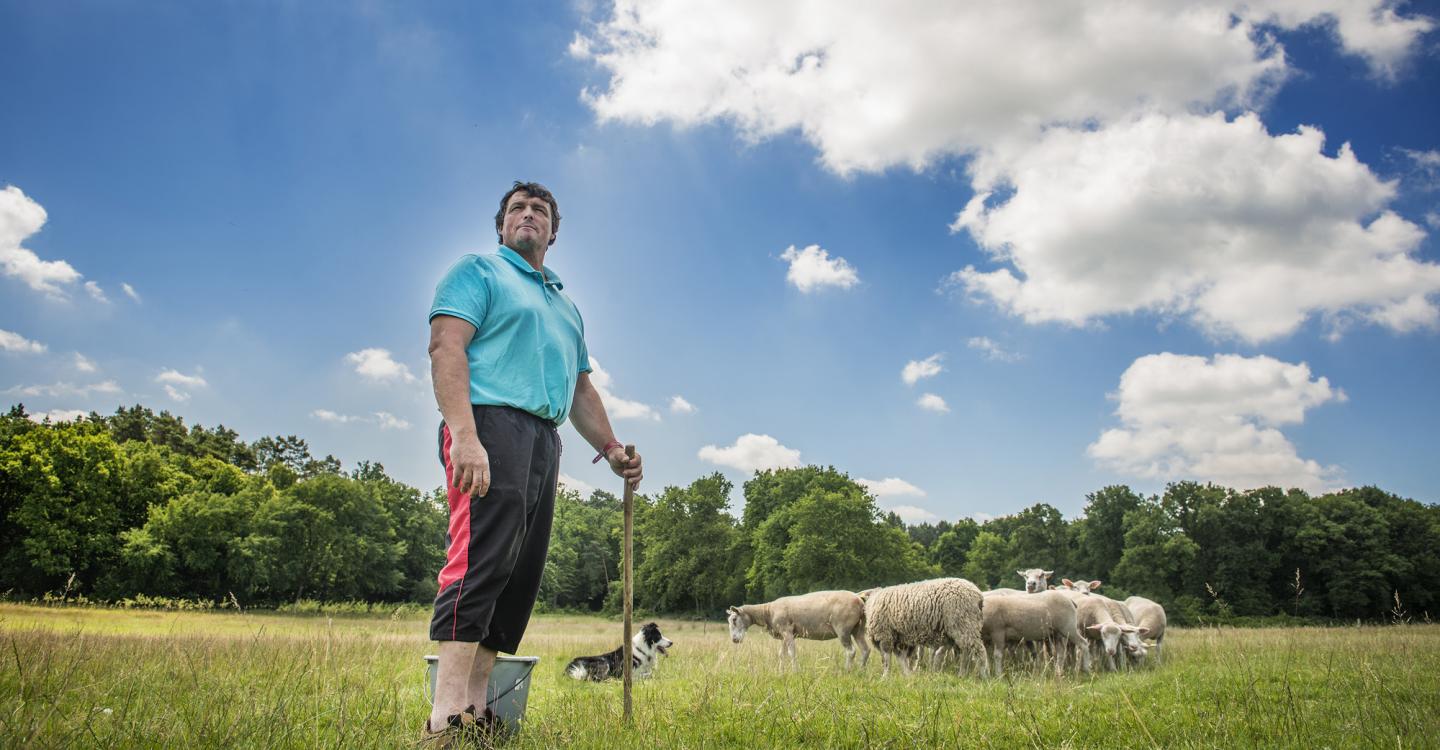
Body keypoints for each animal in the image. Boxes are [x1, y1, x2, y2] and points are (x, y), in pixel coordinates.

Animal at [725, 590, 869, 667]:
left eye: (734, 619)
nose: (734, 640)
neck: (768, 612)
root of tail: (859, 599)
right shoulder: (783, 635)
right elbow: (781, 654)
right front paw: (781, 672)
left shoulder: (787, 631)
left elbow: (791, 653)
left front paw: (795, 672)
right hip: (858, 629)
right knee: (865, 650)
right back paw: (861, 671)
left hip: (843, 629)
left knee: (851, 651)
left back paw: (847, 671)